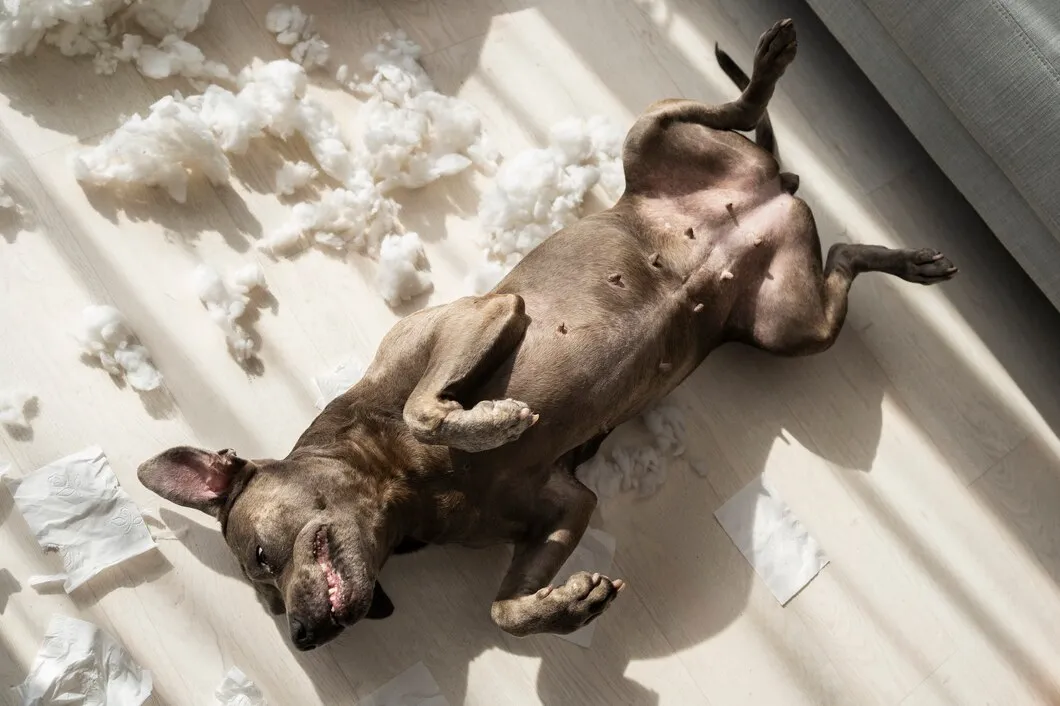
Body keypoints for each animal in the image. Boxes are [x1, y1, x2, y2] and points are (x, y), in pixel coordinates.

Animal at [136, 19, 958, 648]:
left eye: (261, 559)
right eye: (265, 592)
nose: (304, 637)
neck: (399, 485)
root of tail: (770, 190)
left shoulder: (483, 315)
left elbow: (426, 406)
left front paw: (491, 419)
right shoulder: (566, 504)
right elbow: (502, 609)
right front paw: (565, 607)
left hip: (651, 137)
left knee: (733, 104)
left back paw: (770, 64)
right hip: (788, 324)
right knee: (843, 256)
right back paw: (908, 260)